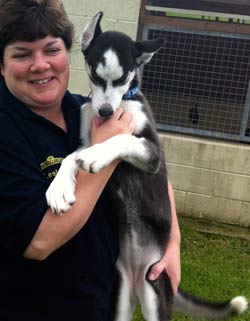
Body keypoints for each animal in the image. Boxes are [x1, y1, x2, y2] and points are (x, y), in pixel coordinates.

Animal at [46, 11, 248, 320]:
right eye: (95, 75)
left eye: (123, 79)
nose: (105, 112)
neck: (123, 105)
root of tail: (137, 272)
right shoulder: (84, 139)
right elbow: (70, 157)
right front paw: (59, 189)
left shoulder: (152, 153)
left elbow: (120, 140)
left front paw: (95, 157)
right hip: (120, 297)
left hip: (155, 290)